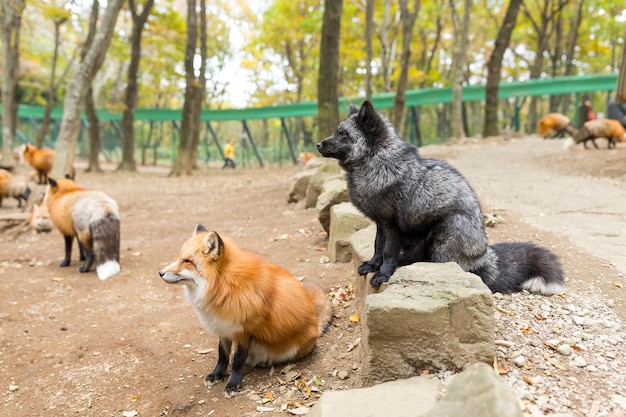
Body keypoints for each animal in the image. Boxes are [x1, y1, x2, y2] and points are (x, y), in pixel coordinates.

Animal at [158, 224, 334, 396]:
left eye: (187, 261)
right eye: (179, 258)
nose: (160, 273)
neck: (224, 286)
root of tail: (316, 323)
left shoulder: (243, 331)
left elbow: (237, 360)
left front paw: (233, 384)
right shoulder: (223, 326)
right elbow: (222, 355)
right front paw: (217, 375)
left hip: (293, 349)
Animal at [314, 100, 564, 296]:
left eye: (342, 134)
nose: (318, 144)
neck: (376, 163)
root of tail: (484, 254)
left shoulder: (392, 224)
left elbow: (387, 251)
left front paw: (383, 274)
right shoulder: (380, 222)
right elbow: (377, 247)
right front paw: (372, 265)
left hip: (442, 239)